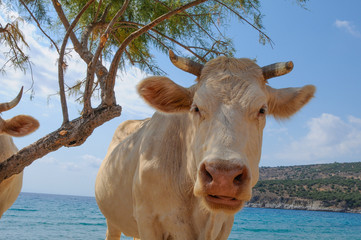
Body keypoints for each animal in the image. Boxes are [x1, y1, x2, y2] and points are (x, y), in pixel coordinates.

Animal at [94, 49, 314, 239]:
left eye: (262, 109)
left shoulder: (224, 225)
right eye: (196, 107)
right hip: (112, 221)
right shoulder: (148, 220)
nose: (223, 176)